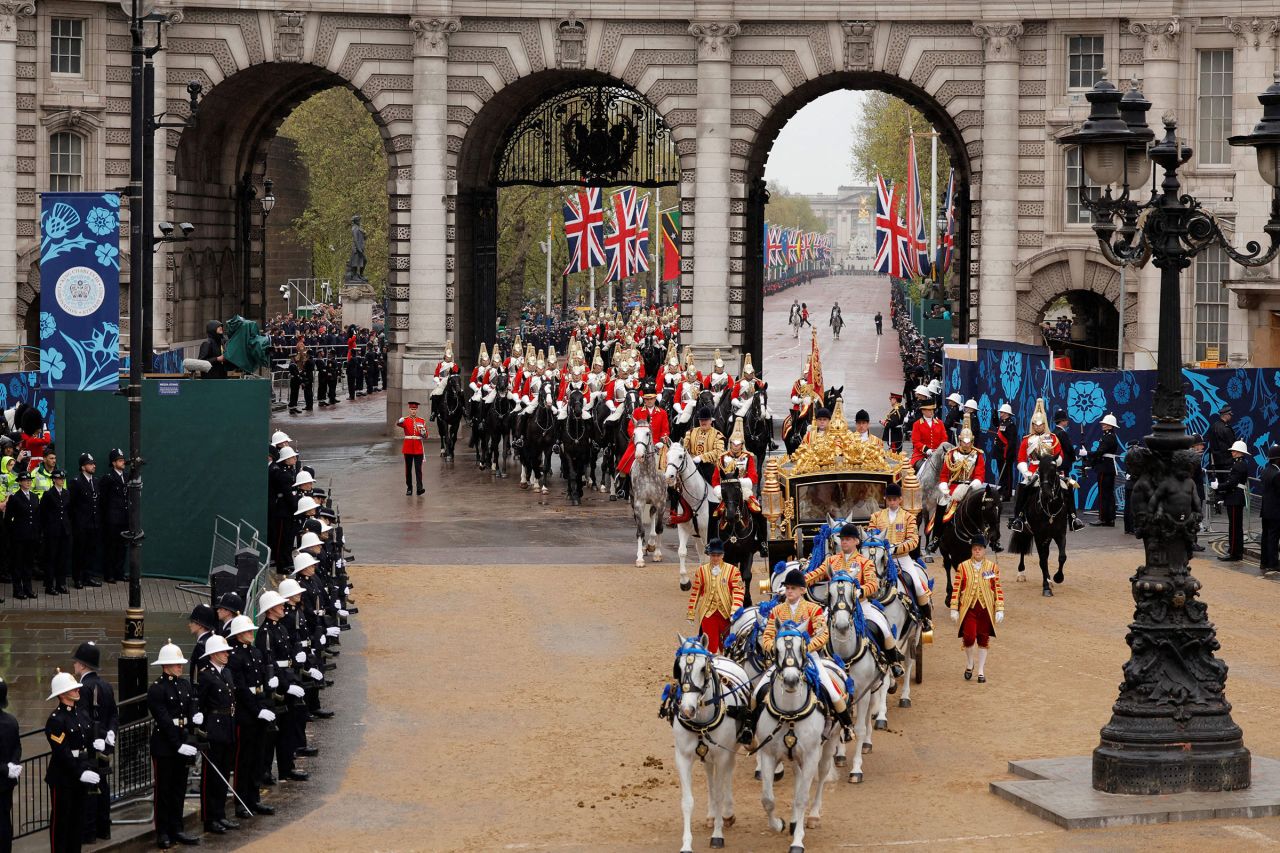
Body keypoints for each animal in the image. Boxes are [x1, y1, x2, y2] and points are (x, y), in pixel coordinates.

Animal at [629, 422, 670, 568]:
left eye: (648, 433)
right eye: (634, 434)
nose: (639, 455)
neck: (647, 472)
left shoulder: (661, 503)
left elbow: (659, 528)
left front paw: (657, 554)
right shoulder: (638, 503)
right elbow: (640, 531)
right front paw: (640, 558)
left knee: (653, 515)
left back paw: (652, 544)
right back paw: (645, 546)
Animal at [665, 438, 716, 591]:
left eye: (680, 456)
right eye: (667, 455)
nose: (669, 477)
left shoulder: (707, 533)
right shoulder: (684, 528)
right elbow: (682, 551)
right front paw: (685, 582)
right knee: (701, 554)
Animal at [670, 635, 747, 850]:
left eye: (702, 669)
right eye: (678, 668)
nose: (687, 710)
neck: (701, 723)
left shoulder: (721, 755)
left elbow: (720, 793)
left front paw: (718, 835)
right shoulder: (683, 758)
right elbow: (687, 801)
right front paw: (686, 844)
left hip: (730, 750)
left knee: (728, 774)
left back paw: (727, 814)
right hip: (707, 754)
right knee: (709, 776)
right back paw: (712, 815)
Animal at [752, 627, 844, 845]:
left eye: (801, 648)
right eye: (776, 650)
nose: (791, 680)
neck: (790, 713)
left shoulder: (811, 755)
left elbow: (803, 797)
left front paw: (797, 841)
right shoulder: (768, 754)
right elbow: (767, 799)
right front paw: (778, 824)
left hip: (830, 743)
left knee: (821, 775)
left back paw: (813, 816)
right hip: (795, 756)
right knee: (798, 777)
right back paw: (794, 821)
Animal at [1008, 455, 1070, 594]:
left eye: (1053, 470)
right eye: (1039, 470)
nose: (1046, 494)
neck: (1051, 509)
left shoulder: (1060, 534)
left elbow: (1062, 557)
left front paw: (1058, 577)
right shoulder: (1038, 536)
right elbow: (1042, 561)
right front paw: (1046, 587)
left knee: (1046, 555)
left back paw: (1049, 579)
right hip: (1025, 531)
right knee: (1023, 549)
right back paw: (1021, 573)